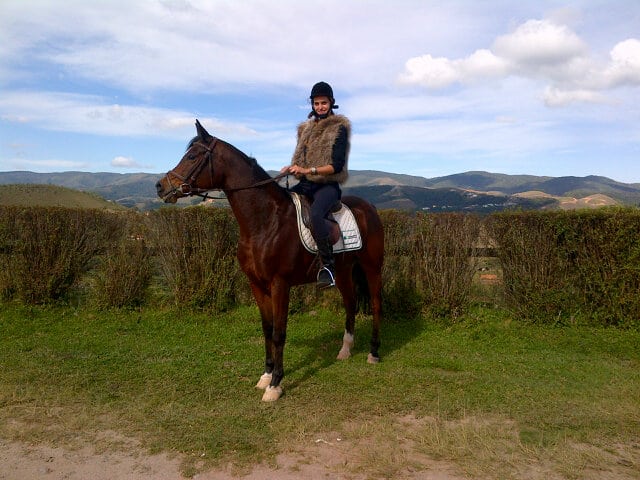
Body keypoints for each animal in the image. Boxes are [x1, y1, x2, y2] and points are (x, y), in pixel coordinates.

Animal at [157, 119, 382, 402]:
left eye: (192, 156)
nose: (160, 186)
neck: (264, 222)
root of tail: (369, 208)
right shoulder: (257, 284)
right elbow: (266, 328)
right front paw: (265, 376)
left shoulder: (279, 284)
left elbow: (278, 333)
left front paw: (275, 384)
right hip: (342, 271)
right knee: (350, 303)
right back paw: (345, 350)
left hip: (372, 268)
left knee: (375, 305)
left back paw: (374, 353)